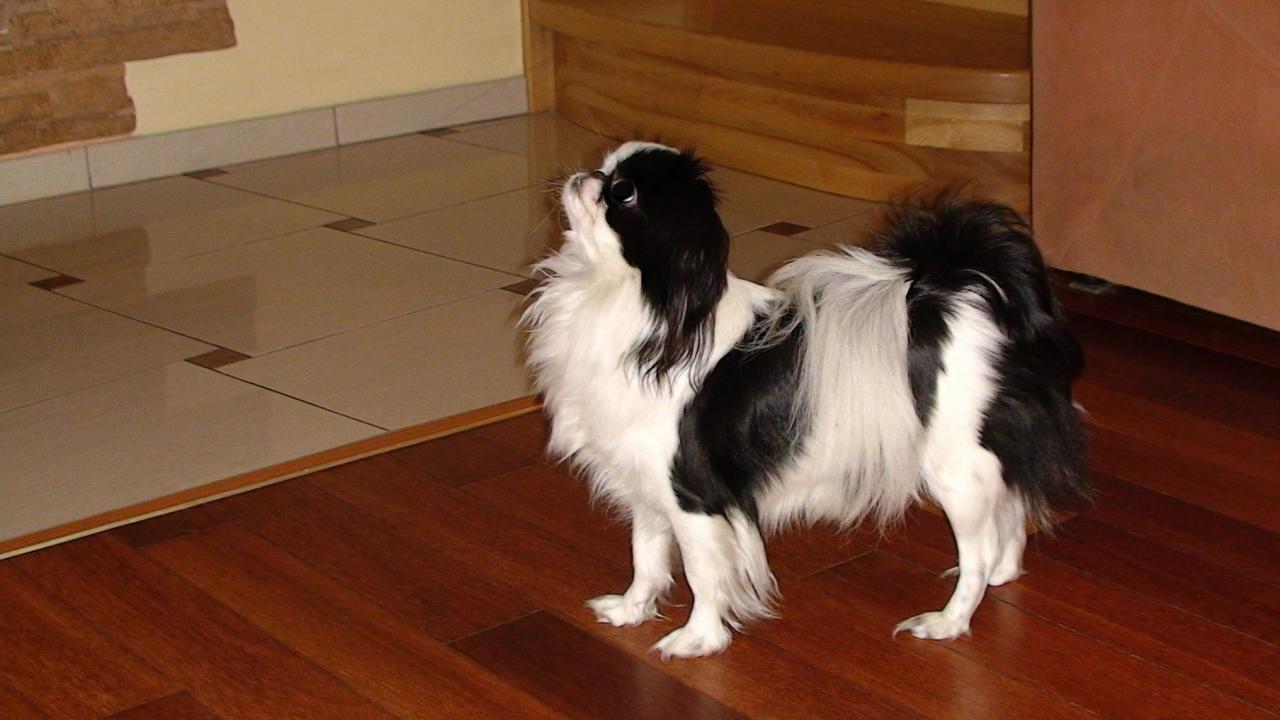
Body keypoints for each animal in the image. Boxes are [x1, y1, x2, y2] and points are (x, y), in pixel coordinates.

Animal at [523, 142, 1088, 658]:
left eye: (623, 193)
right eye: (605, 164)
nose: (587, 176)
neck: (641, 305)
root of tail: (968, 296)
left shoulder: (694, 495)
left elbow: (704, 574)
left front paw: (697, 640)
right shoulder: (647, 481)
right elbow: (645, 554)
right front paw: (631, 610)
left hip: (956, 469)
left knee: (980, 547)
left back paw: (948, 621)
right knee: (1012, 510)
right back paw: (1002, 575)